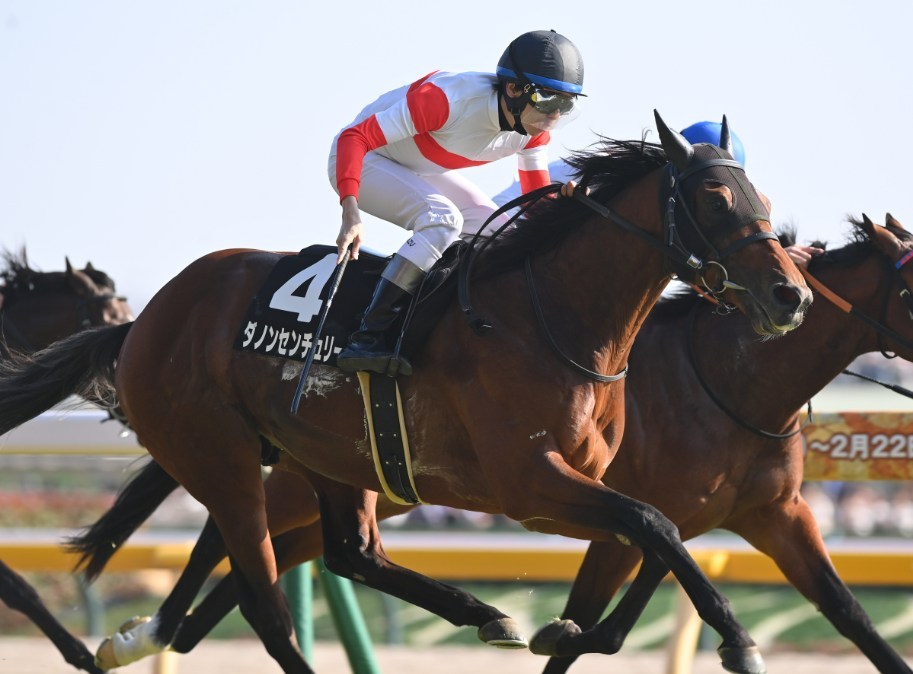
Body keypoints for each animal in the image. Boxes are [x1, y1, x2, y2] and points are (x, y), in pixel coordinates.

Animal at [71, 215, 913, 674]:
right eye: (910, 285)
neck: (726, 378)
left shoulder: (772, 515)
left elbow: (848, 614)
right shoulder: (617, 510)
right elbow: (603, 611)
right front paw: (565, 629)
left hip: (357, 481)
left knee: (303, 553)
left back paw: (165, 631)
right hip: (278, 469)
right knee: (233, 541)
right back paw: (147, 632)